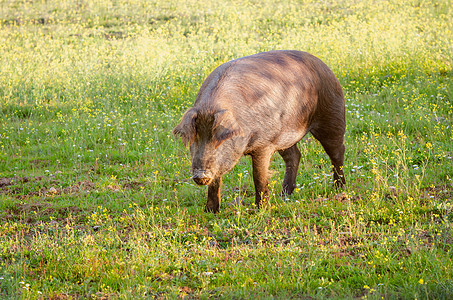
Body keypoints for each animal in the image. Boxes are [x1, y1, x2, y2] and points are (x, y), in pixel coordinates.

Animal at [174, 50, 346, 212]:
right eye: (195, 138)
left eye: (220, 139)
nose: (200, 175)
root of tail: (324, 66)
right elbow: (216, 180)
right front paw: (210, 211)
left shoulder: (264, 144)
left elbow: (258, 176)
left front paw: (260, 209)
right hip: (284, 137)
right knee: (295, 155)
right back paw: (284, 194)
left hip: (332, 117)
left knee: (337, 153)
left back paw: (339, 188)